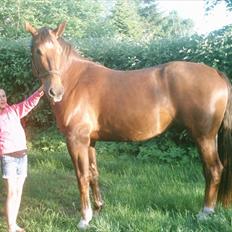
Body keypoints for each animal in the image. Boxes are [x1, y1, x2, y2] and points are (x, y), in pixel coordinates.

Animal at [25, 22, 232, 228]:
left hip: (204, 137)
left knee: (213, 170)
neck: (76, 82)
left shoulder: (76, 140)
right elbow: (93, 173)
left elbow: (82, 177)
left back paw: (205, 213)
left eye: (58, 51)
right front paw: (98, 208)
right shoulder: (90, 141)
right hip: (209, 137)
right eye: (37, 51)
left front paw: (85, 218)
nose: (55, 92)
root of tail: (217, 73)